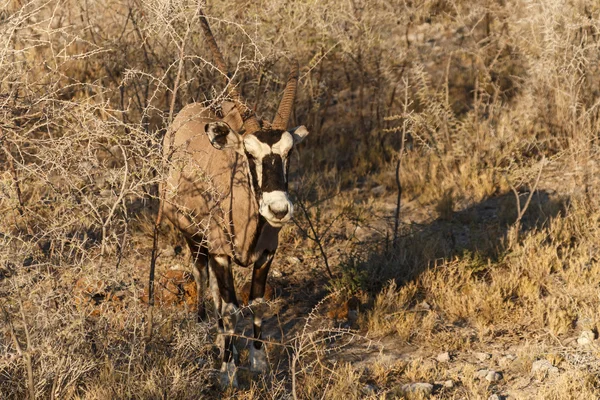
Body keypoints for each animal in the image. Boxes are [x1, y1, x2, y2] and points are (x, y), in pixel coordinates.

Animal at [161, 11, 310, 388]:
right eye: (248, 153)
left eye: (289, 153)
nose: (278, 209)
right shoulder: (220, 253)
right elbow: (230, 310)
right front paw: (228, 372)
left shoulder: (266, 254)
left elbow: (256, 304)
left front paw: (258, 362)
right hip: (196, 239)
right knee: (205, 282)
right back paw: (208, 331)